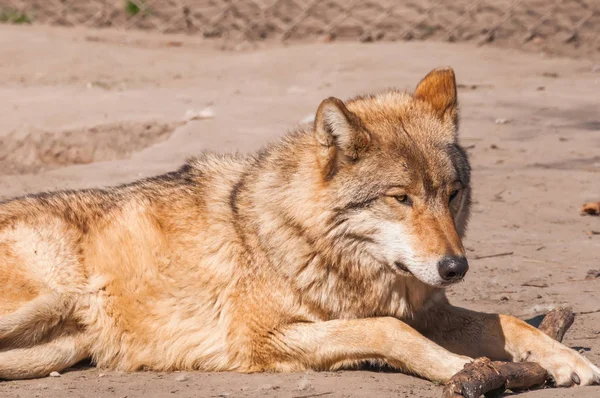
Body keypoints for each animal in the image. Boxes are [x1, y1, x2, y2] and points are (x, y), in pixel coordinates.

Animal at [1, 67, 600, 388]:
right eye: (400, 198)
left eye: (451, 194)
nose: (455, 267)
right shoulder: (263, 338)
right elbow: (387, 330)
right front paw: (459, 367)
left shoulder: (433, 310)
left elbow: (510, 321)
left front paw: (567, 360)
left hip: (60, 345)